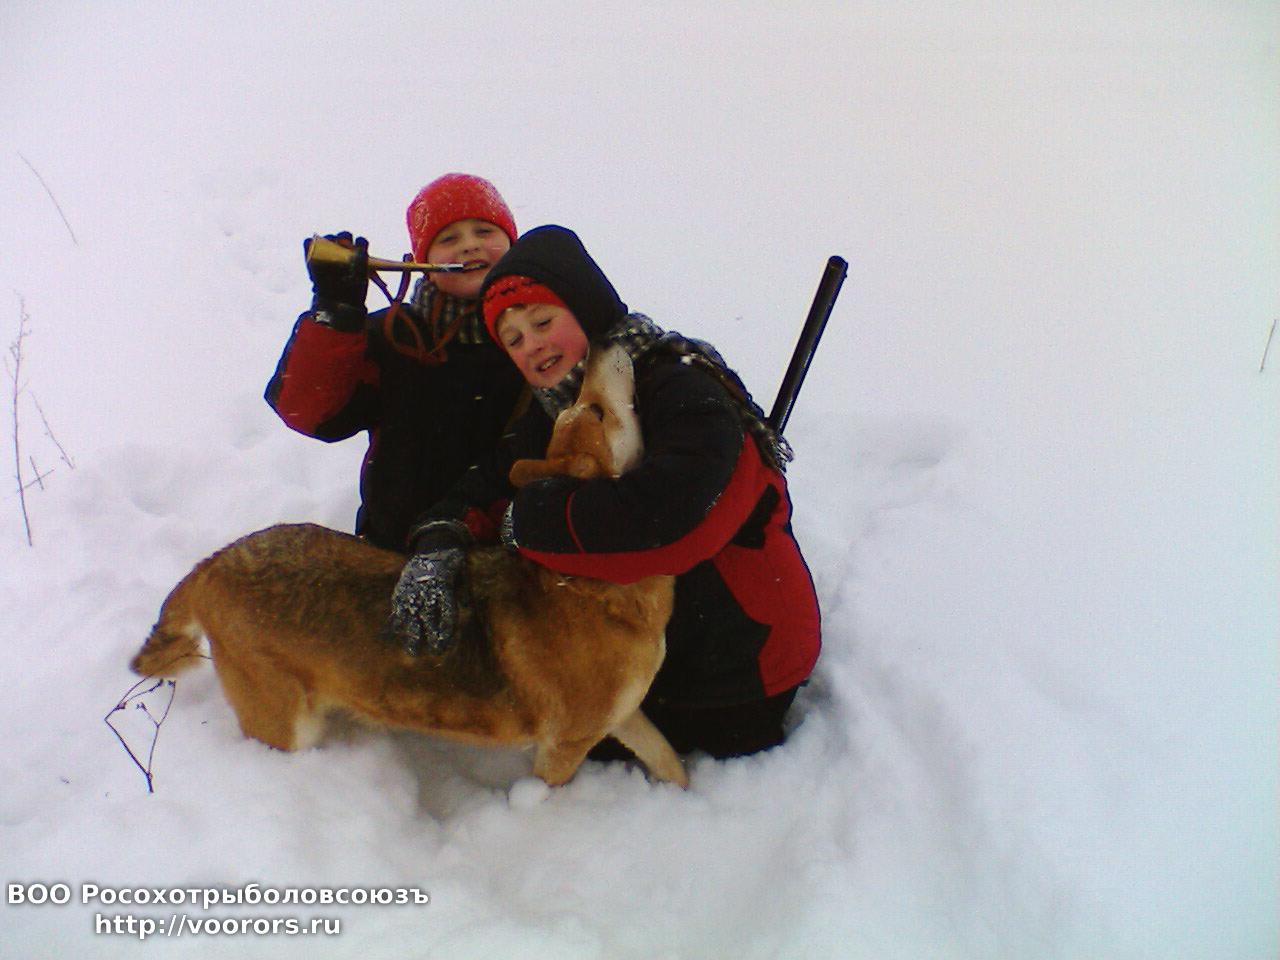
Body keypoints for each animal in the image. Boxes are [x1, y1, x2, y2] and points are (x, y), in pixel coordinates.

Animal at [130, 345, 687, 788]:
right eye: (595, 409)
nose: (599, 343)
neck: (592, 579)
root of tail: (214, 561)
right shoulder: (566, 745)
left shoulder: (626, 714)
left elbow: (670, 760)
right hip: (285, 724)